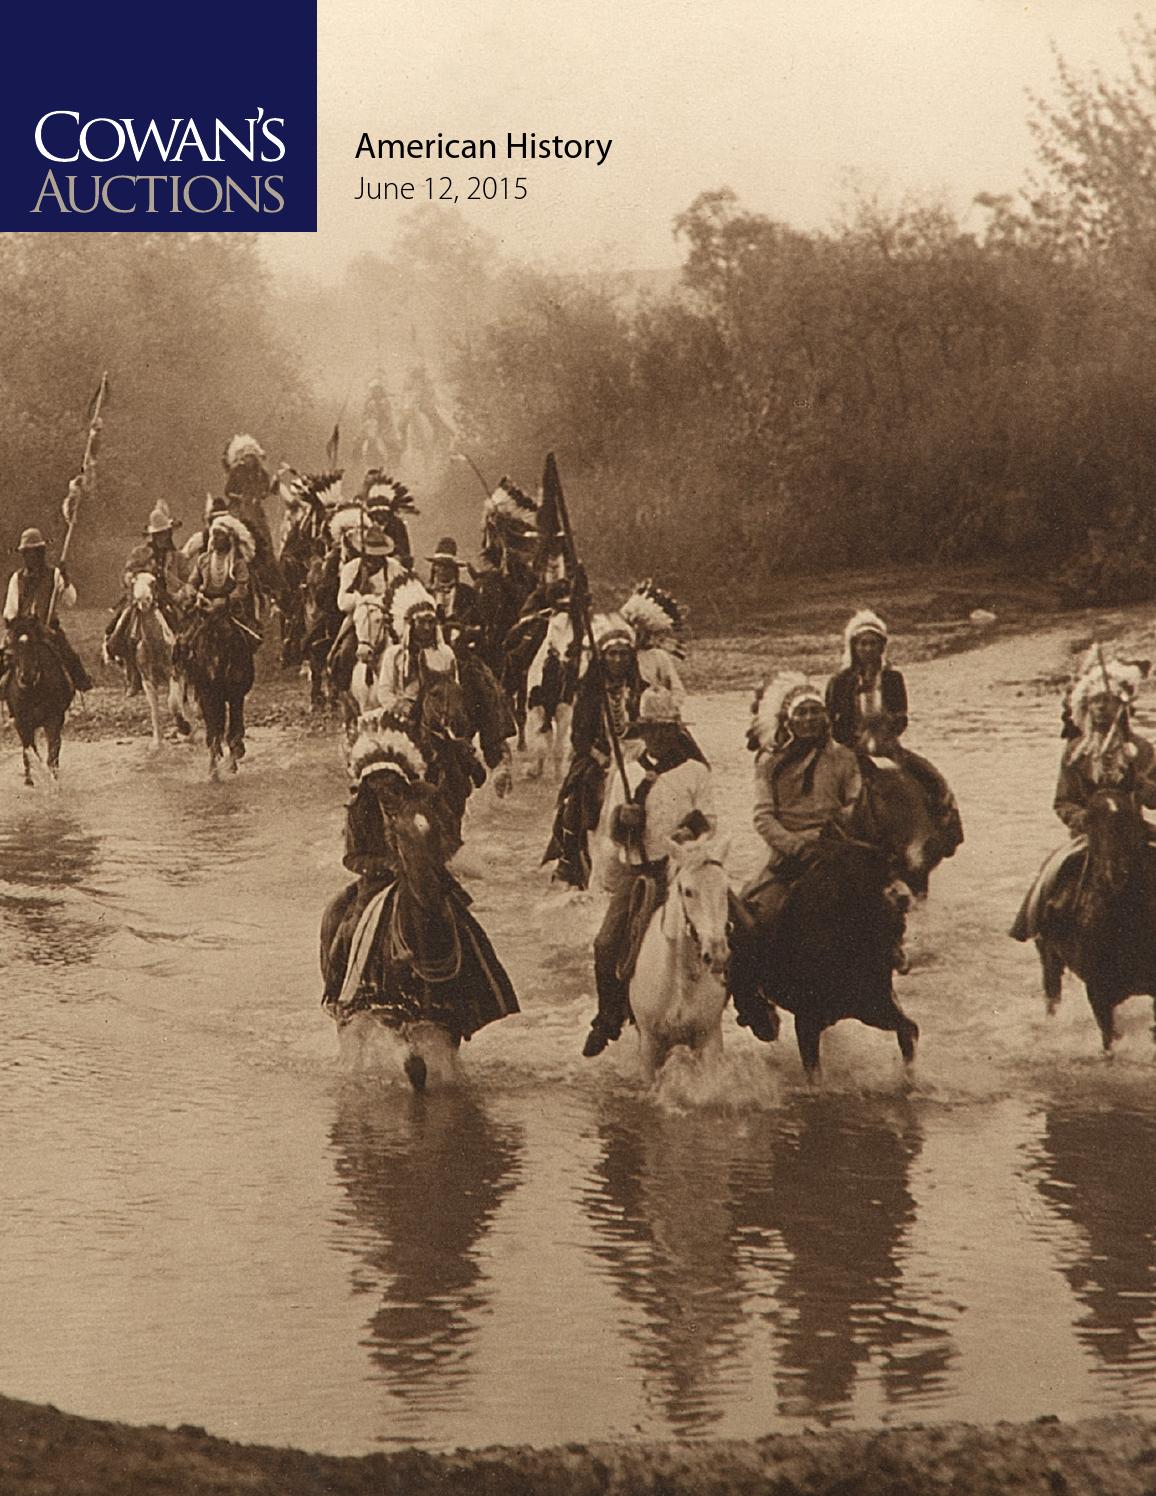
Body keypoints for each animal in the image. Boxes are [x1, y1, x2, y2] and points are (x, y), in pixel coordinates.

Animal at [2, 616, 72, 789]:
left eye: (34, 644)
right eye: (12, 648)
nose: (26, 677)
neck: (33, 691)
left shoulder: (53, 720)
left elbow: (52, 751)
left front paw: (53, 779)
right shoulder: (21, 723)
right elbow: (29, 751)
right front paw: (30, 779)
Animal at [1028, 783, 1154, 1053]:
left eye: (1129, 818)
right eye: (1091, 821)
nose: (1114, 874)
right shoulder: (1098, 994)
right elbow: (1109, 1042)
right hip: (1049, 960)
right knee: (1052, 997)